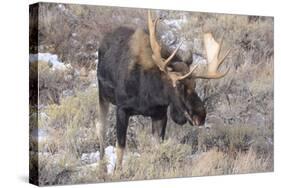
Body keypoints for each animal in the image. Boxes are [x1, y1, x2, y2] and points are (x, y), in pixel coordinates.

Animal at [96, 10, 230, 170]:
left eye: (195, 84)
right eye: (177, 84)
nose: (200, 115)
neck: (148, 93)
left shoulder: (160, 114)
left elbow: (158, 149)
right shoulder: (122, 109)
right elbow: (120, 149)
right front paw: (117, 171)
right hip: (102, 95)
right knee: (101, 130)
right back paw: (102, 168)